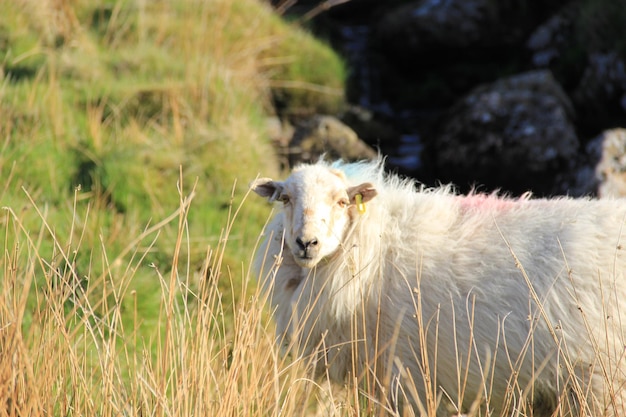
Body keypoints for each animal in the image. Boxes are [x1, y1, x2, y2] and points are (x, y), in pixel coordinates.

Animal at [249, 158, 624, 414]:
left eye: (342, 202)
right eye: (285, 199)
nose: (306, 243)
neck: (374, 248)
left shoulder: (405, 374)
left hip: (602, 381)